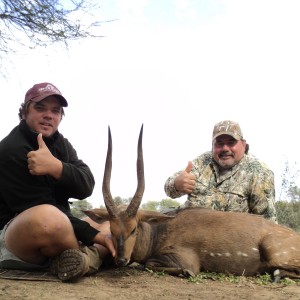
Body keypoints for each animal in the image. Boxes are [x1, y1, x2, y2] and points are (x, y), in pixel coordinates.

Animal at [82, 125, 300, 280]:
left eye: (134, 228)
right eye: (111, 229)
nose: (120, 259)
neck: (158, 232)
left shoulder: (185, 259)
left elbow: (152, 265)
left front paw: (185, 273)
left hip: (274, 250)